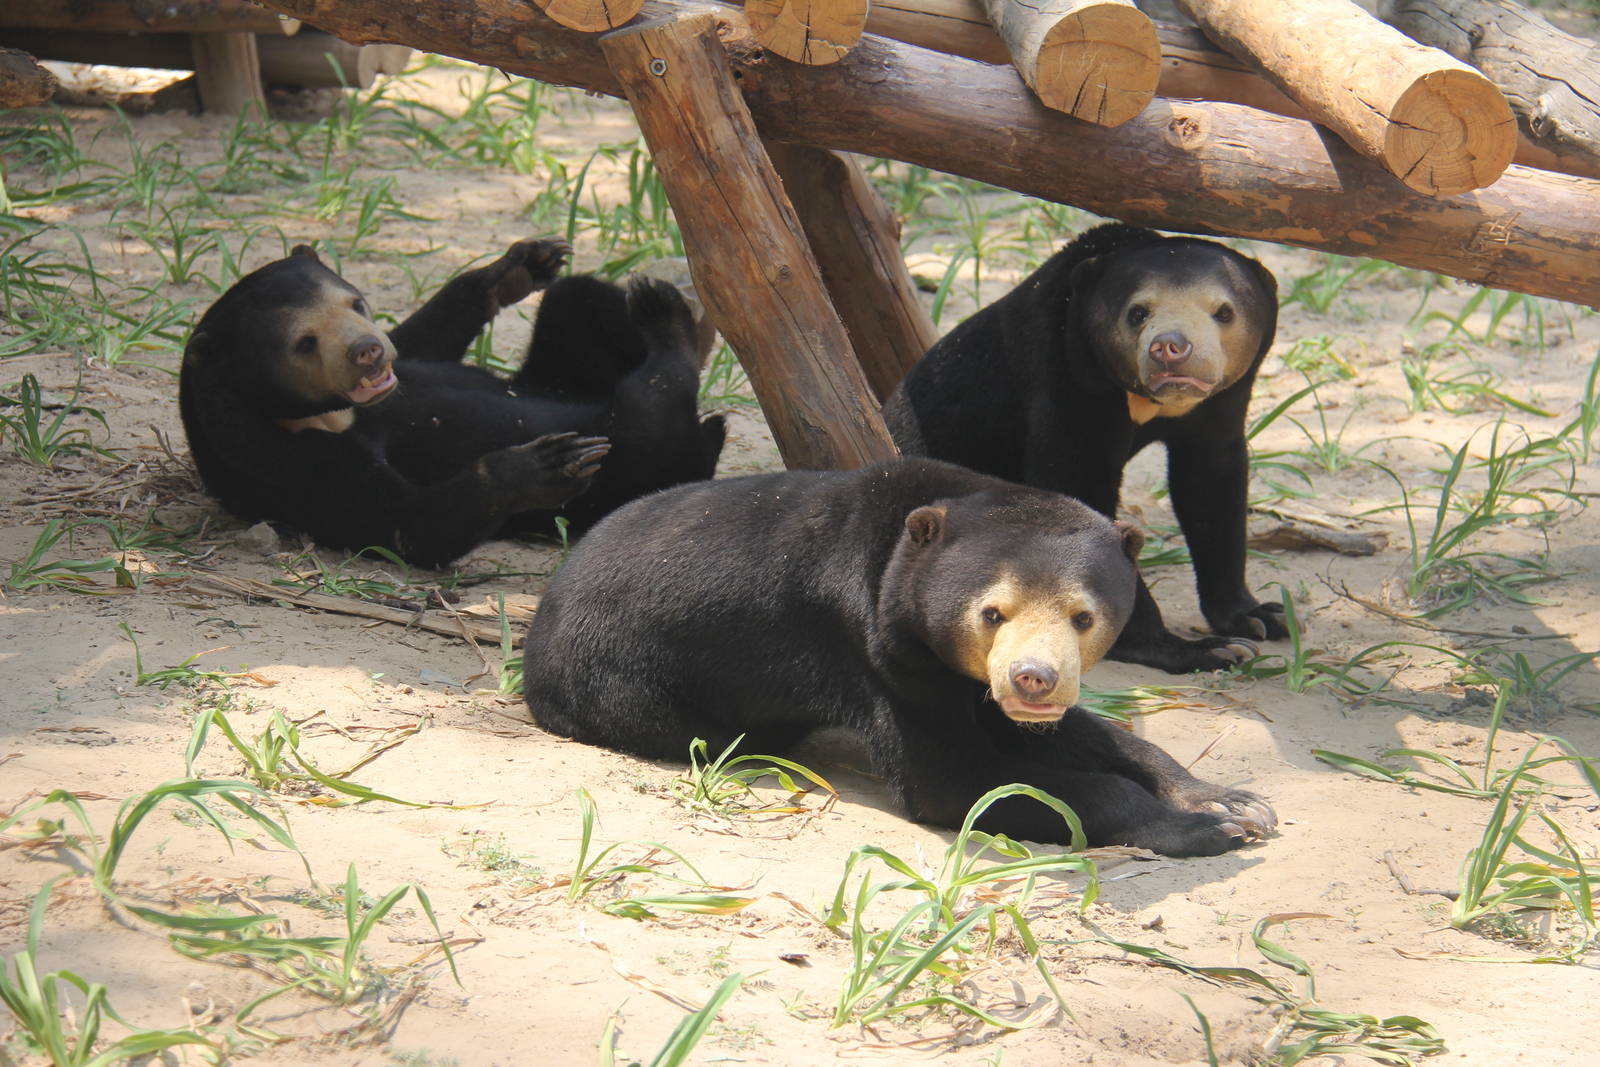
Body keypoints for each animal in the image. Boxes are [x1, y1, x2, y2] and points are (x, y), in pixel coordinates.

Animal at [180, 238, 726, 568]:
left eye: (355, 304)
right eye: (305, 343)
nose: (368, 351)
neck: (333, 412)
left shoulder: (402, 367)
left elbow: (421, 340)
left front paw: (521, 265)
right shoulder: (286, 461)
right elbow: (406, 524)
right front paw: (546, 464)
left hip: (562, 373)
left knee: (577, 297)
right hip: (632, 463)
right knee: (647, 409)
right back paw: (668, 324)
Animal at [522, 458, 1275, 857]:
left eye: (1083, 617)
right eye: (992, 612)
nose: (1033, 679)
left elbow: (1091, 737)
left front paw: (1232, 799)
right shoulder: (874, 651)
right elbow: (953, 777)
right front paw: (1204, 828)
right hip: (622, 681)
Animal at [884, 222, 1285, 675]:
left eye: (1224, 312)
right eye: (1138, 313)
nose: (1171, 348)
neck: (1145, 401)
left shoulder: (1221, 403)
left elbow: (1212, 485)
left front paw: (1258, 616)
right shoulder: (1066, 380)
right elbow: (1079, 491)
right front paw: (1205, 649)